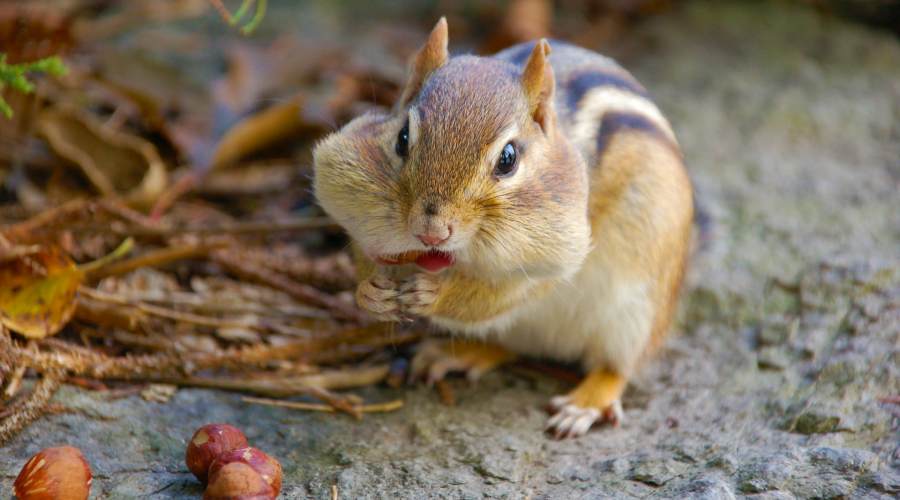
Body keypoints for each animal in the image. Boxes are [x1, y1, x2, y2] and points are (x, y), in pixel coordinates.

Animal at [313, 18, 693, 439]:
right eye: (402, 138)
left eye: (508, 158)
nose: (432, 231)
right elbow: (363, 250)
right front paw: (370, 293)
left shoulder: (558, 252)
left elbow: (498, 294)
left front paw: (435, 294)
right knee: (508, 346)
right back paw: (455, 353)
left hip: (636, 312)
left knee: (617, 366)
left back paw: (585, 403)